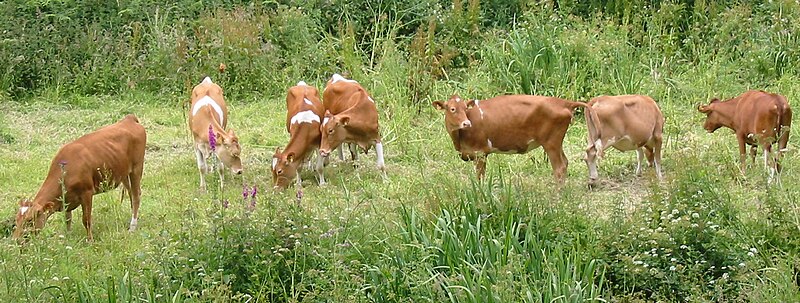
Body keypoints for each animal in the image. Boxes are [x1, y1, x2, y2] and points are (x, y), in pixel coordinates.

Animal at [12, 114, 147, 242]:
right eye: (16, 219)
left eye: (30, 220)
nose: (16, 240)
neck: (65, 169)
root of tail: (128, 119)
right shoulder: (66, 199)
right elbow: (67, 219)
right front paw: (68, 237)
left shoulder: (87, 192)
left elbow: (86, 220)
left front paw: (90, 240)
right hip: (123, 172)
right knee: (131, 193)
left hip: (137, 168)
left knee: (136, 196)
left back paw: (132, 226)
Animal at [432, 94, 588, 182]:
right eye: (452, 109)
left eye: (465, 108)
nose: (466, 123)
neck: (459, 141)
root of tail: (563, 102)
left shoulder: (480, 153)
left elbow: (480, 178)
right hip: (556, 142)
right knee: (565, 163)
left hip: (551, 142)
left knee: (559, 168)